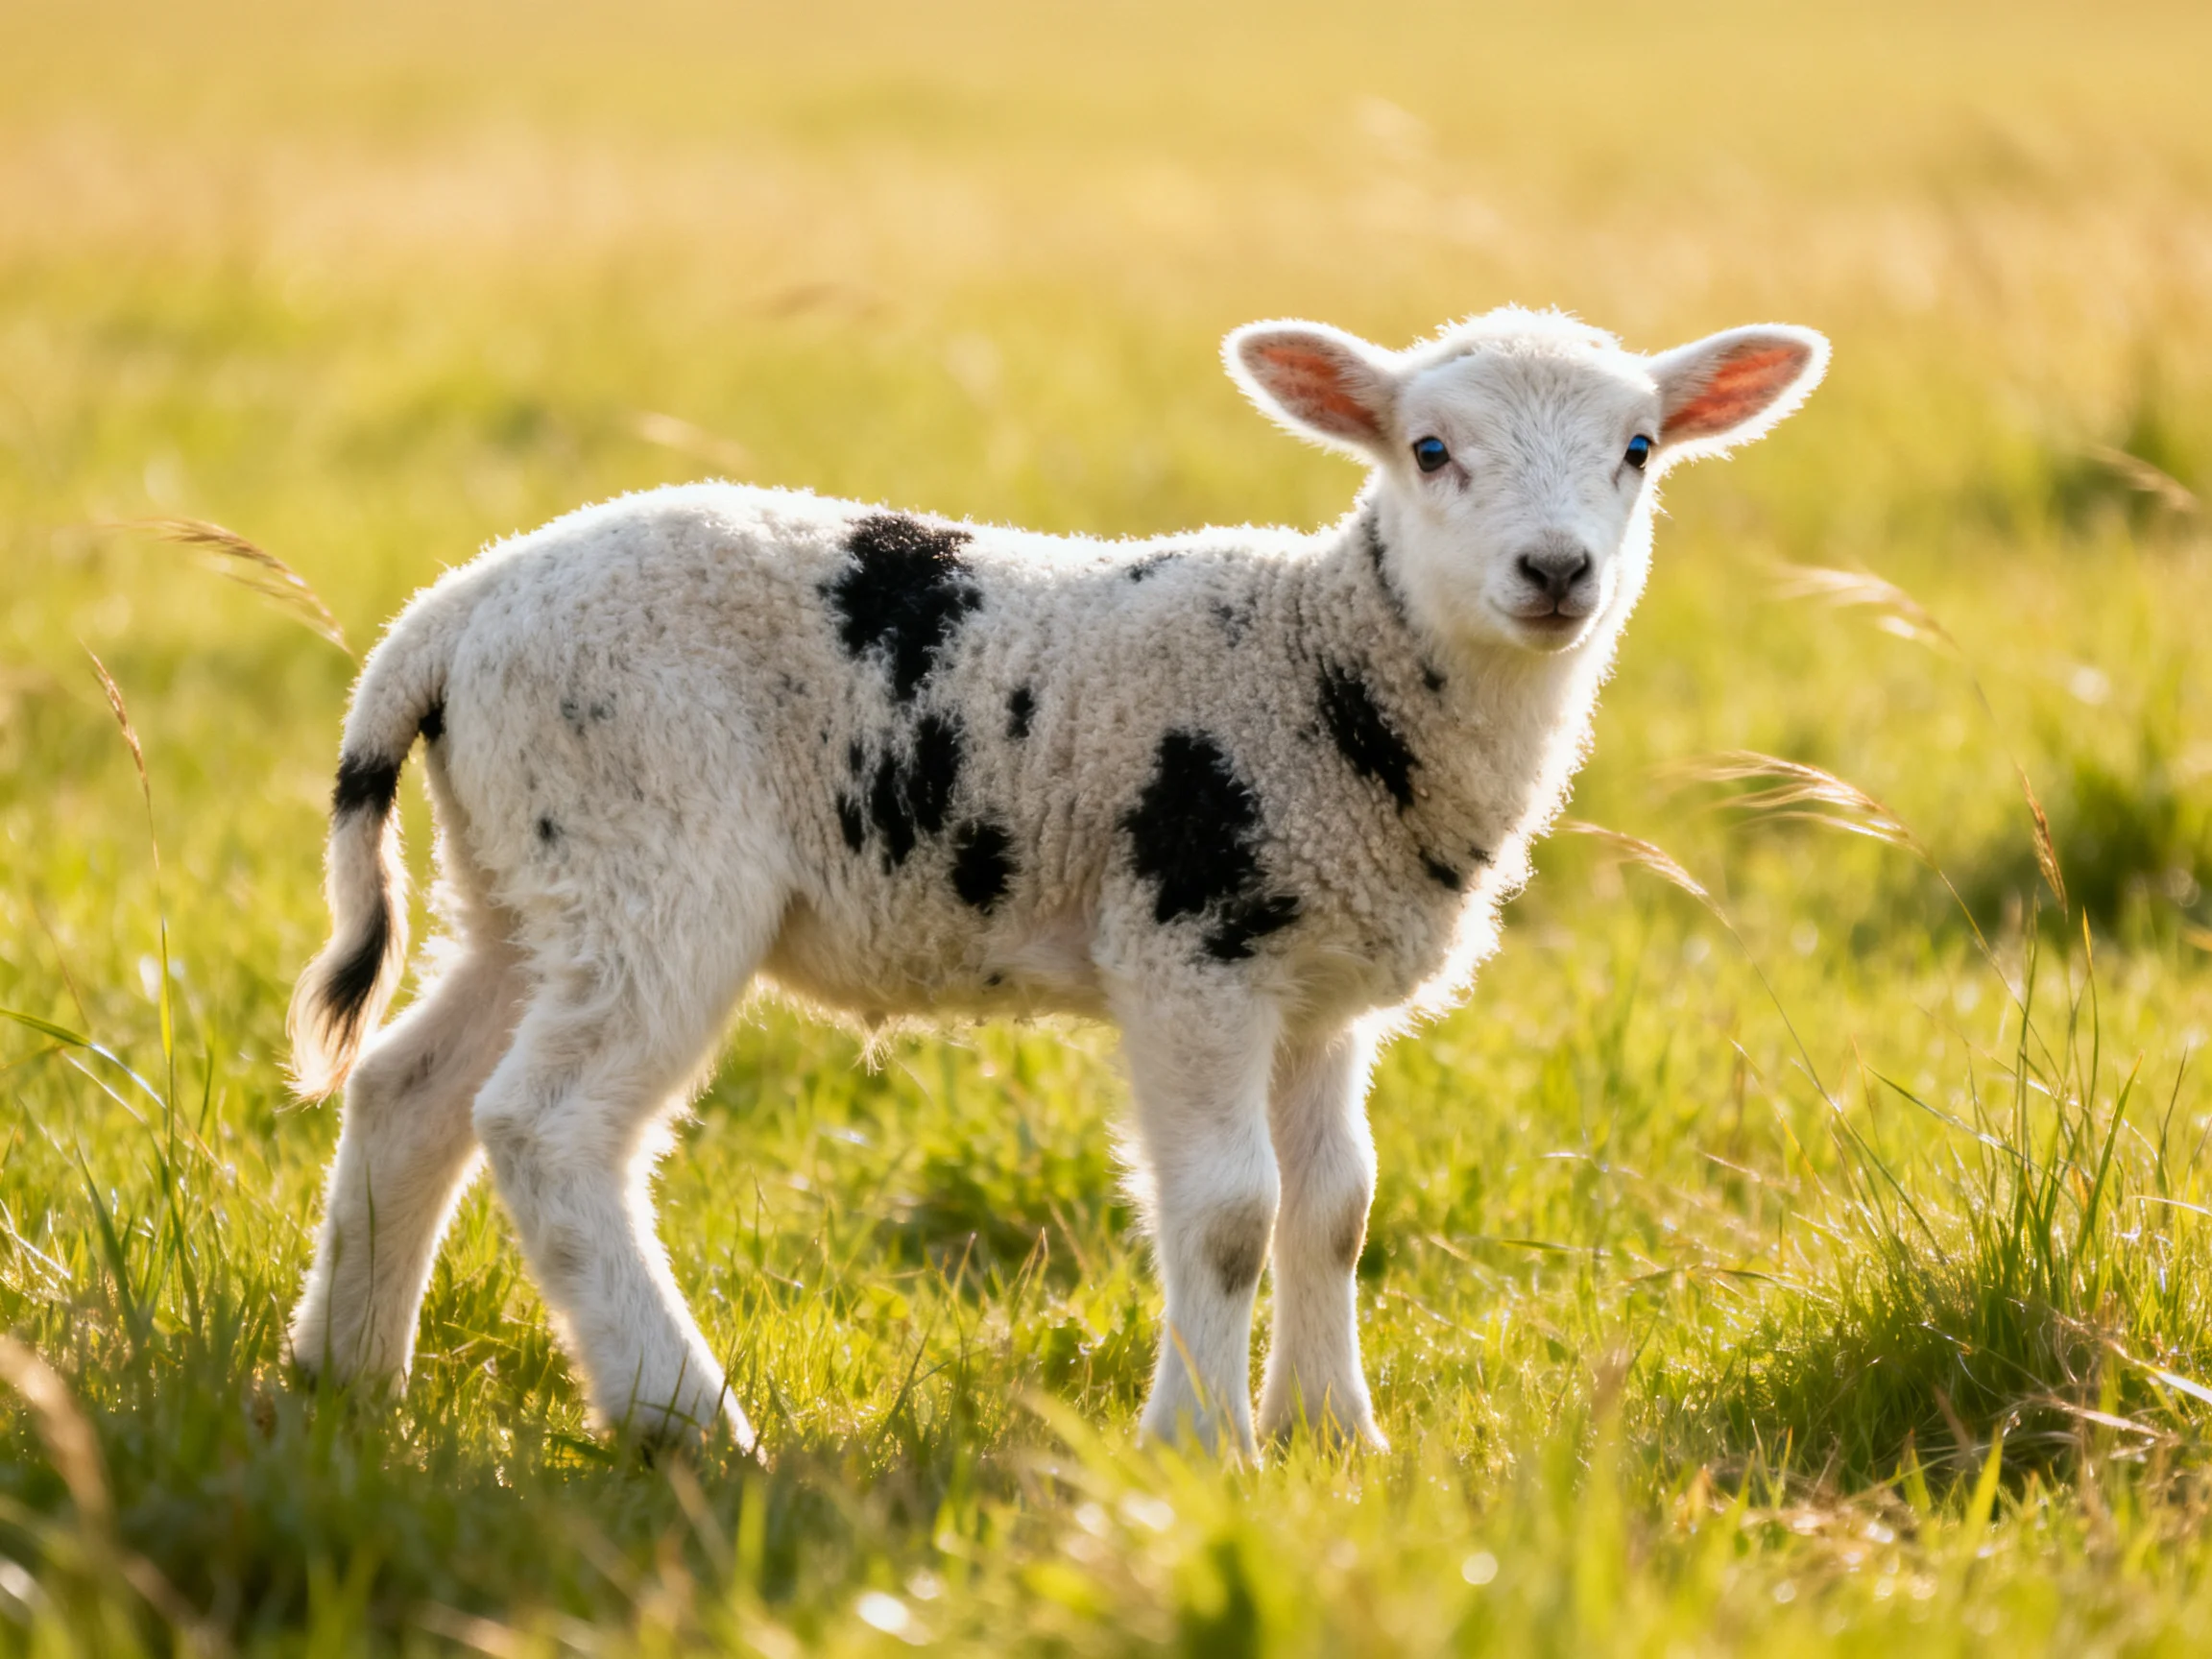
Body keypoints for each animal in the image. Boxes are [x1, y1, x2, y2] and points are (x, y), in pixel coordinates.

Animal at [285, 305, 1827, 1457]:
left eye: (1639, 449)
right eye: (1430, 448)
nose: (1555, 571)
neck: (1331, 661)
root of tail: (453, 611)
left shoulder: (1320, 984)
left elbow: (1335, 1207)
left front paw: (1336, 1437)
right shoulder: (1194, 945)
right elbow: (1231, 1213)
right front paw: (1201, 1447)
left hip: (525, 875)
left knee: (412, 1091)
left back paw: (346, 1382)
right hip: (651, 852)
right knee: (545, 1128)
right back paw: (687, 1422)